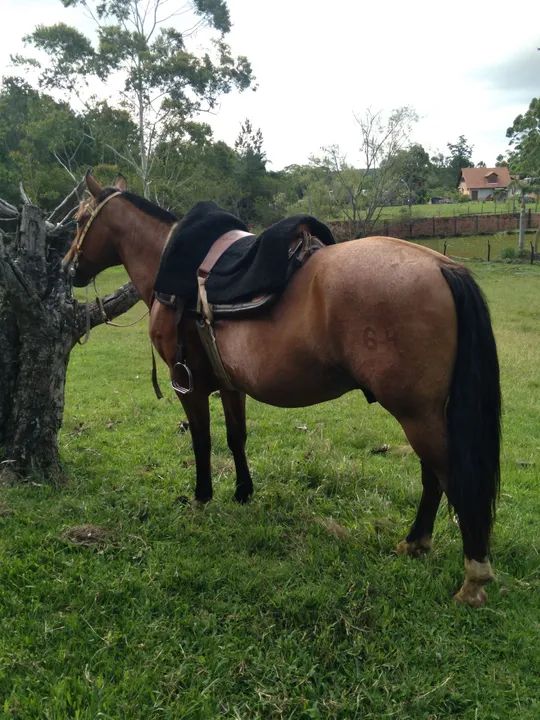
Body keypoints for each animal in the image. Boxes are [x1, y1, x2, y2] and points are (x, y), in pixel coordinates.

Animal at [62, 173, 501, 606]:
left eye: (81, 219)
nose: (68, 268)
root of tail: (441, 265)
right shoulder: (230, 385)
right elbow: (236, 437)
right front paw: (243, 492)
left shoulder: (188, 385)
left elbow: (202, 441)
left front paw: (202, 497)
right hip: (424, 413)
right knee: (433, 477)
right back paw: (415, 544)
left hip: (415, 413)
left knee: (452, 478)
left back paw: (473, 578)